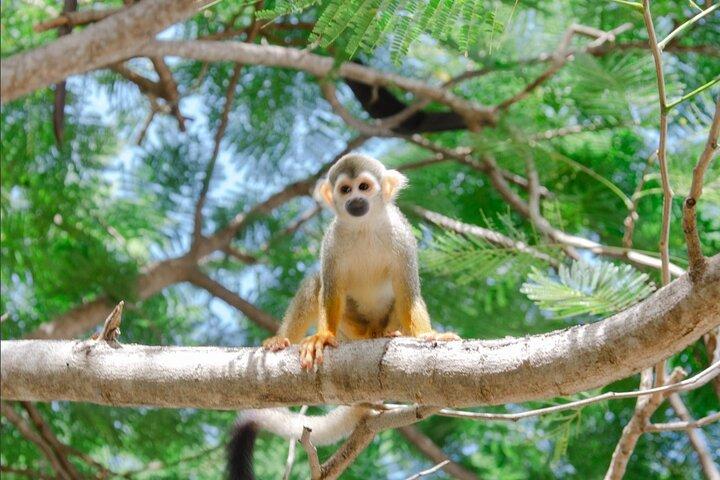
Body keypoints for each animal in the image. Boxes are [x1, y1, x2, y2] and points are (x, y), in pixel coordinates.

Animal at [227, 153, 459, 479]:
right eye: (346, 190)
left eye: (364, 186)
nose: (356, 201)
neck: (364, 227)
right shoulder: (332, 241)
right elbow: (330, 289)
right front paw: (322, 338)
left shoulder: (402, 235)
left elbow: (408, 292)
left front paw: (429, 336)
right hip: (352, 329)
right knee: (316, 283)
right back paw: (283, 340)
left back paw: (391, 334)